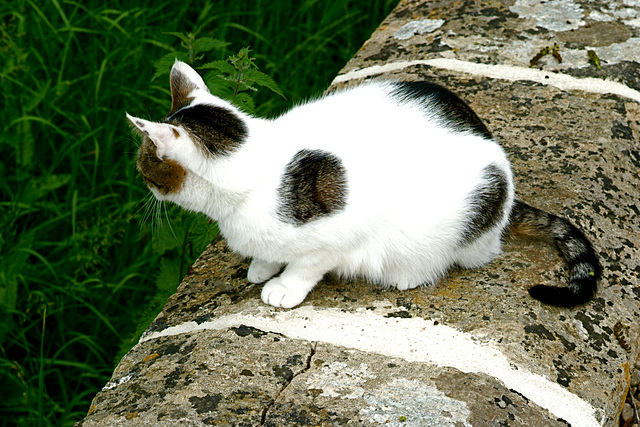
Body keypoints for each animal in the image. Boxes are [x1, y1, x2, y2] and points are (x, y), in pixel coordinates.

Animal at [126, 61, 600, 308]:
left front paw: (282, 287)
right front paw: (262, 266)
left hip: (467, 217)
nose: (143, 185)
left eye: (144, 167)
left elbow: (306, 265)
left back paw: (410, 275)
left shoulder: (336, 238)